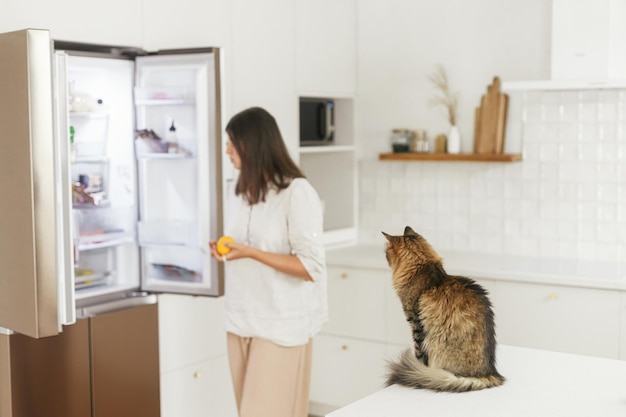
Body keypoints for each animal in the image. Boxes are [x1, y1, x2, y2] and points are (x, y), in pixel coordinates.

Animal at [380, 226, 502, 392]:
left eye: (386, 253)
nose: (384, 257)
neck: (422, 269)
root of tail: (489, 373)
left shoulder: (416, 323)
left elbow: (419, 354)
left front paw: (419, 367)